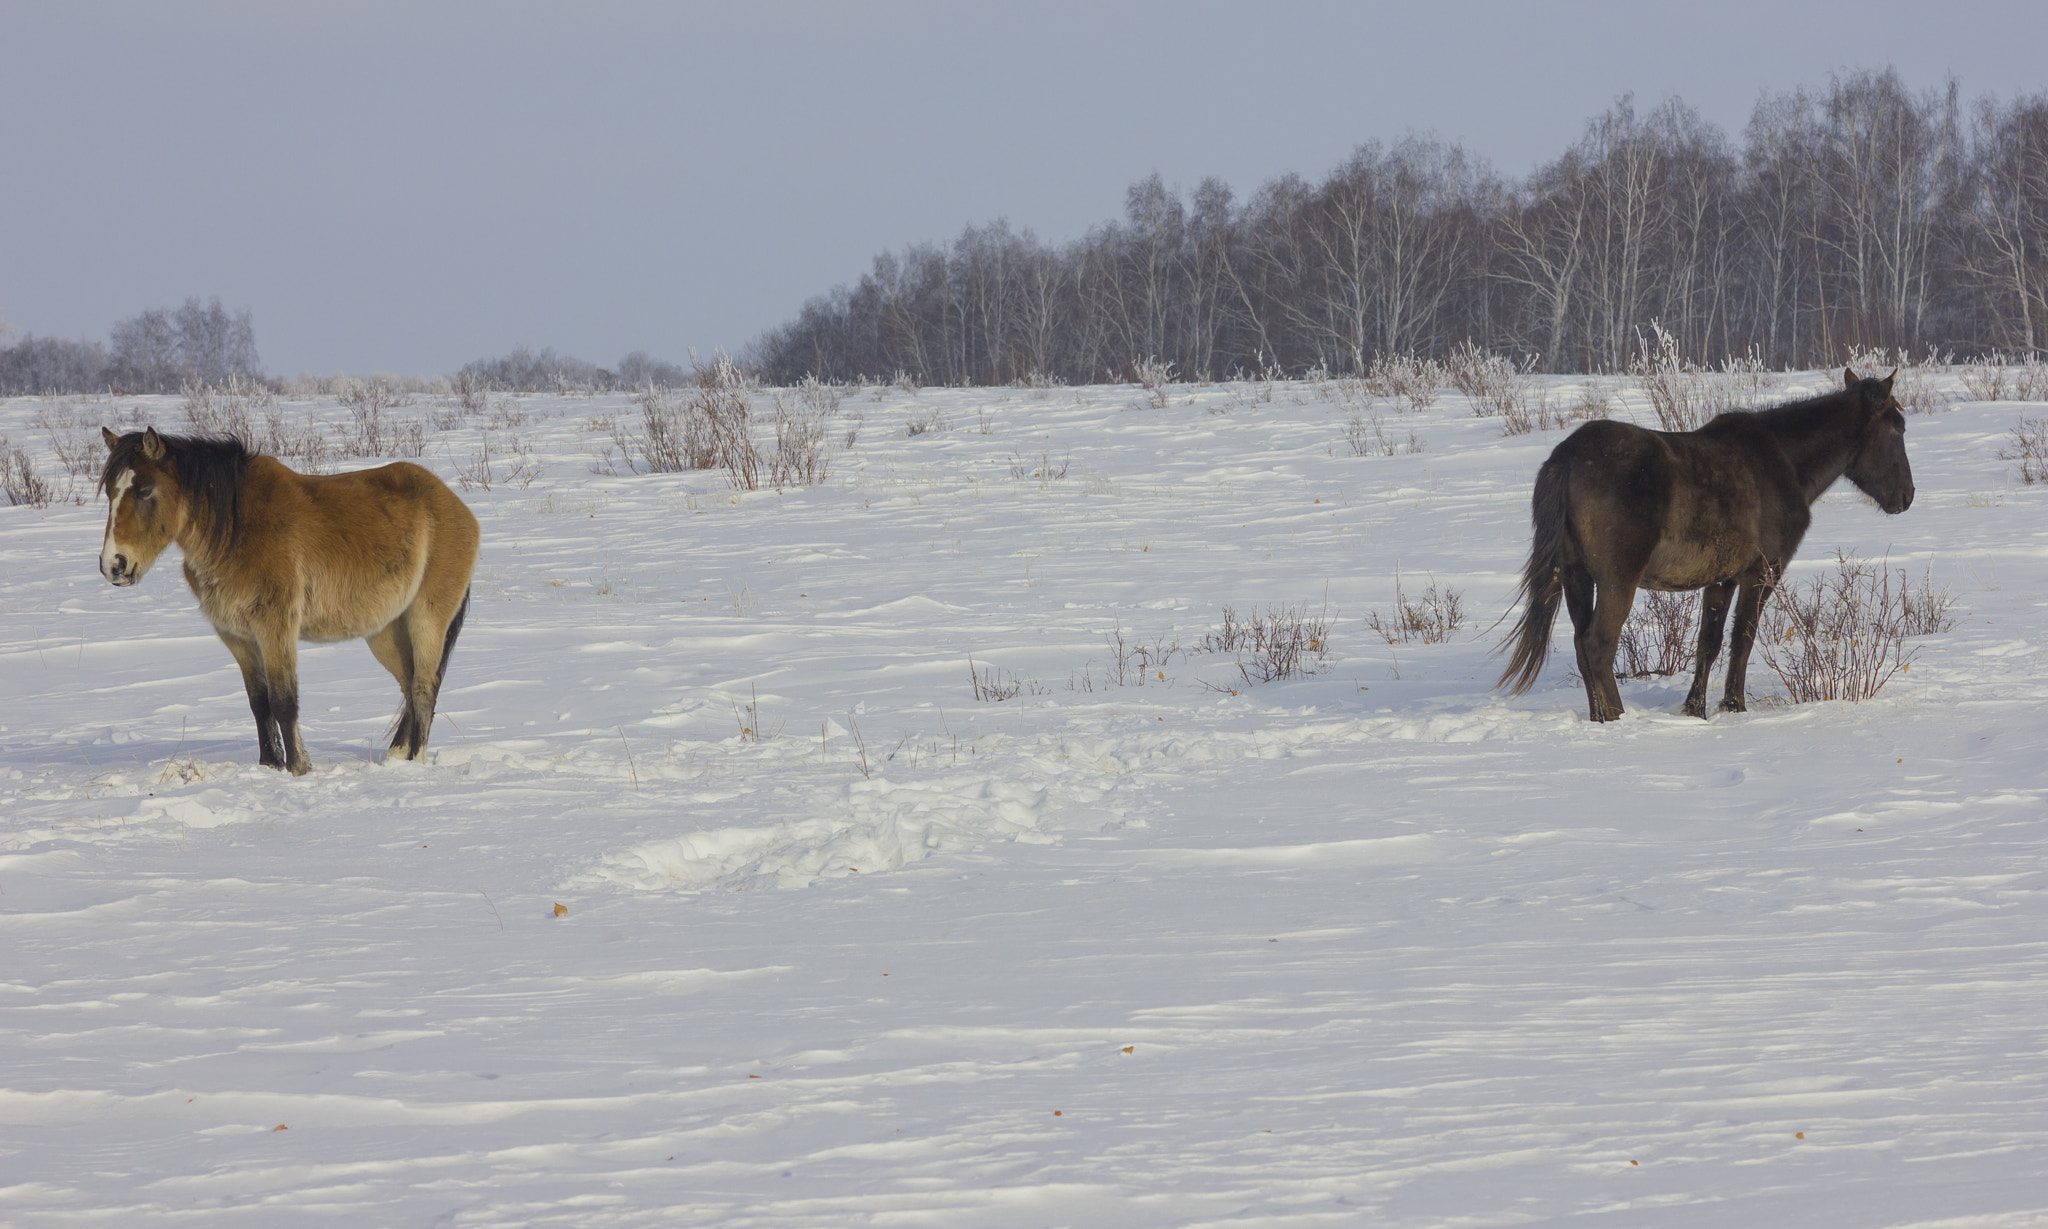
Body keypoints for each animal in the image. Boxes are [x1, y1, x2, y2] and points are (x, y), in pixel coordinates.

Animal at [100, 428, 479, 774]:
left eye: (146, 490)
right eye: (109, 492)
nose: (113, 565)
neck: (236, 530)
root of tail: (458, 507)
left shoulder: (275, 627)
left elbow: (283, 701)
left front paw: (298, 768)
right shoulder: (237, 636)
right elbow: (258, 703)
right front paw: (269, 764)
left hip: (426, 619)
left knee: (424, 688)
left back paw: (416, 761)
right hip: (385, 630)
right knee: (409, 686)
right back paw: (398, 755)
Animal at [1499, 368, 1908, 725]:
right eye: (1898, 427)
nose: (1906, 495)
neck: (1786, 463)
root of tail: (1566, 459)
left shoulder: (1721, 577)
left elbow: (1708, 643)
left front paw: (1695, 710)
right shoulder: (1762, 572)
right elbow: (1743, 638)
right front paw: (1734, 705)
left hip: (1575, 577)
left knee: (1583, 648)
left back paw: (1600, 718)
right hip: (1618, 580)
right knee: (1598, 646)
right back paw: (1618, 718)